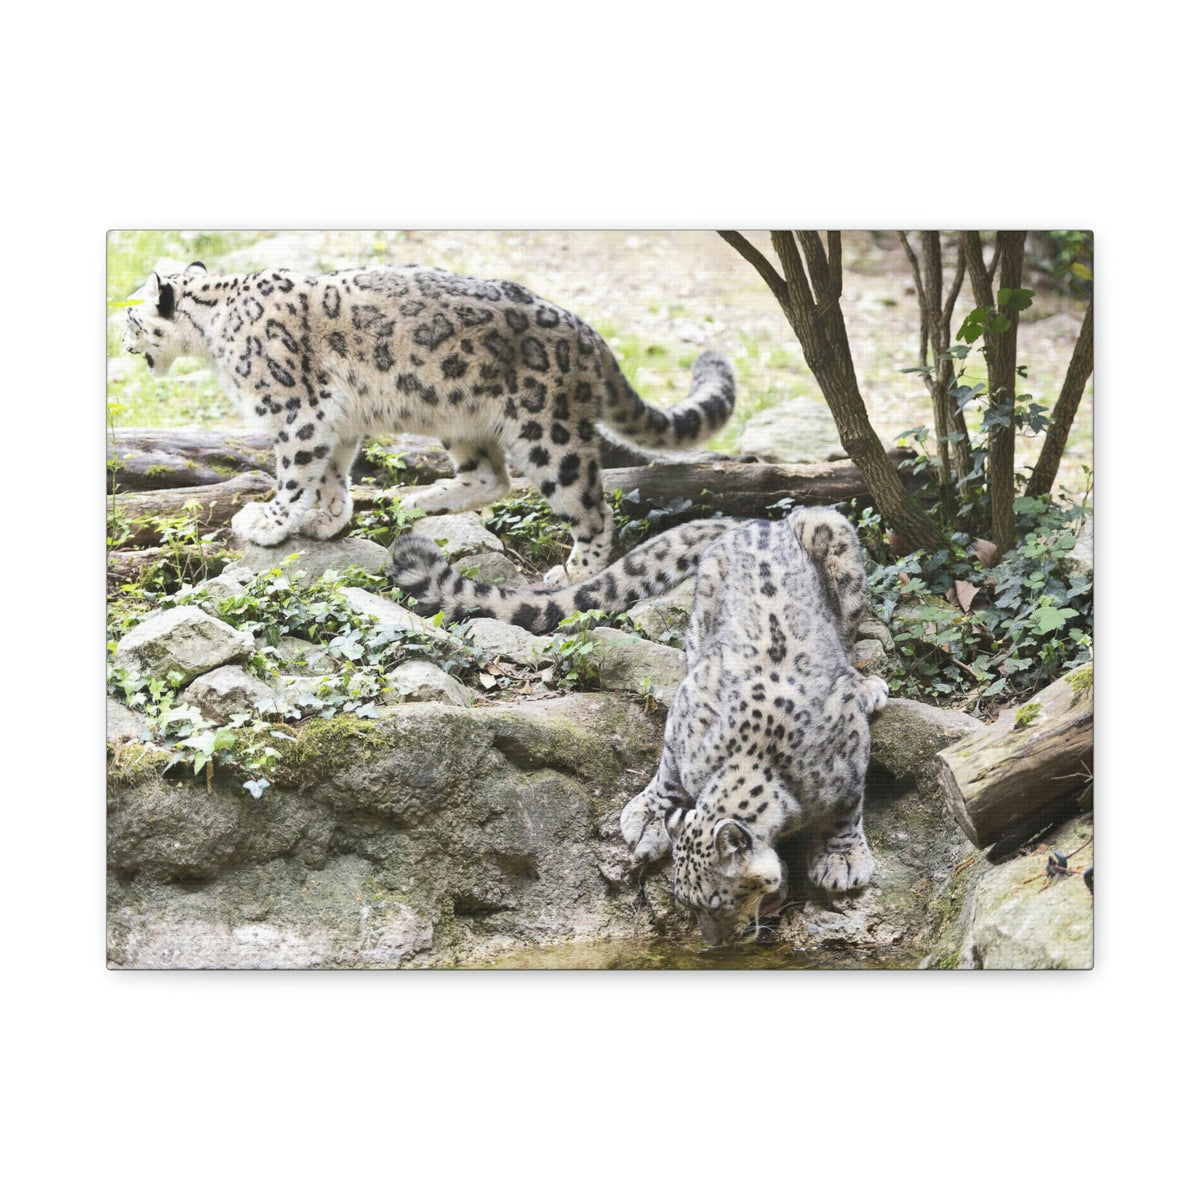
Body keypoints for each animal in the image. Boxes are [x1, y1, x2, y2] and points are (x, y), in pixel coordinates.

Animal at [123, 261, 736, 583]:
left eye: (130, 316)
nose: (123, 342)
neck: (213, 334)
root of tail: (588, 333)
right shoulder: (334, 420)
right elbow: (332, 472)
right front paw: (328, 519)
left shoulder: (297, 410)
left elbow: (295, 471)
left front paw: (268, 521)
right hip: (462, 418)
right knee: (492, 478)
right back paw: (422, 501)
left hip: (548, 431)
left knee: (590, 504)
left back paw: (575, 570)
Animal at [391, 505, 888, 946]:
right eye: (687, 902)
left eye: (721, 901)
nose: (716, 944)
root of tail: (758, 522)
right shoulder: (690, 711)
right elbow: (667, 769)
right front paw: (650, 816)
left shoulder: (847, 751)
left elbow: (847, 808)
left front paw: (842, 859)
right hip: (704, 615)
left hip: (835, 541)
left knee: (848, 634)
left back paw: (867, 684)